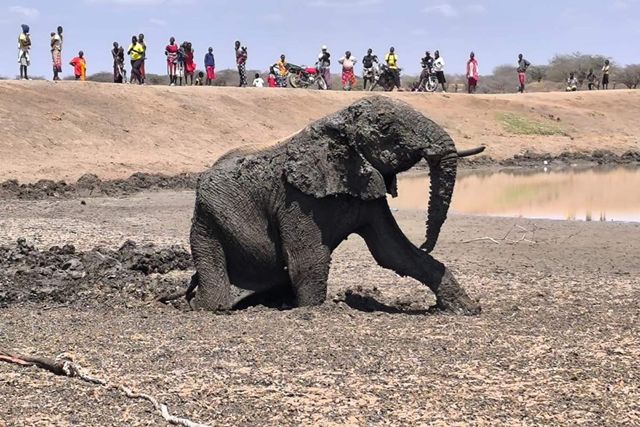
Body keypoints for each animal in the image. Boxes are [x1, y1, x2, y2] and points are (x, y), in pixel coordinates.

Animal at [188, 96, 484, 314]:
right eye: (386, 129)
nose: (426, 243)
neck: (335, 124)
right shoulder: (297, 197)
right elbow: (307, 260)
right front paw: (311, 310)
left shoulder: (368, 192)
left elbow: (395, 253)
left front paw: (466, 308)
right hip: (206, 220)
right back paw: (206, 306)